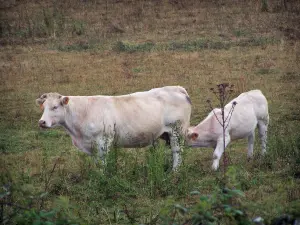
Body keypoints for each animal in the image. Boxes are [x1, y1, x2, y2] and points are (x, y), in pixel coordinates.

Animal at [36, 86, 191, 171]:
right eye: (43, 107)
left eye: (55, 107)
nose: (42, 122)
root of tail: (177, 88)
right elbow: (98, 163)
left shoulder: (103, 140)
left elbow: (103, 163)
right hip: (167, 134)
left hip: (177, 131)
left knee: (177, 152)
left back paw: (174, 172)